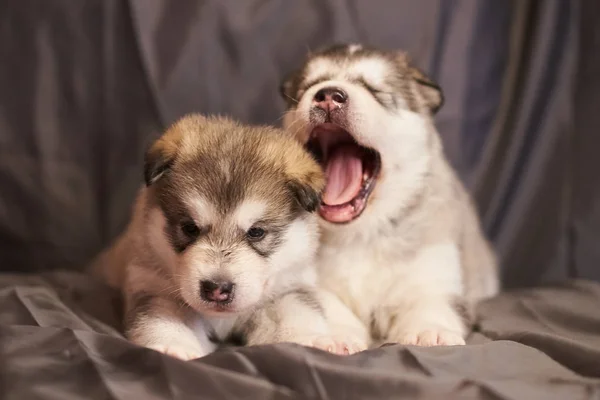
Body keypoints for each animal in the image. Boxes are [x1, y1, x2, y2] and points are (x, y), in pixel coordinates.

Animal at [91, 113, 366, 360]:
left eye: (256, 232)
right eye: (189, 228)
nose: (217, 289)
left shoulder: (285, 292)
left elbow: (296, 316)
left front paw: (315, 340)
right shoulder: (157, 291)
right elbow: (163, 321)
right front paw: (172, 346)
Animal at [282, 44, 502, 346]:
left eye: (376, 92)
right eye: (309, 86)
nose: (328, 95)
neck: (360, 233)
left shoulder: (438, 270)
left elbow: (431, 300)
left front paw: (429, 331)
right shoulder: (299, 281)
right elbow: (326, 304)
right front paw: (337, 335)